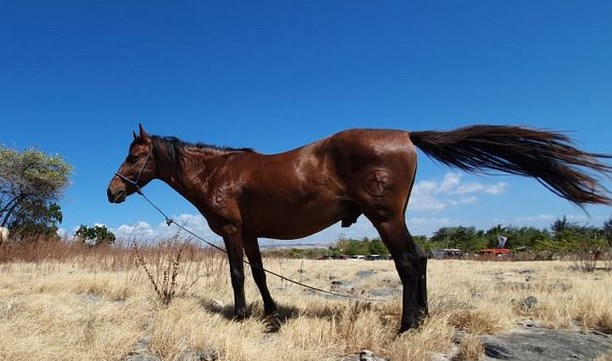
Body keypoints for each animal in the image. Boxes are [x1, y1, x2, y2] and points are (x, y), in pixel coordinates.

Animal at [107, 124, 608, 332]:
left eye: (135, 155)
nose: (112, 191)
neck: (220, 172)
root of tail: (405, 134)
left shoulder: (231, 232)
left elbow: (236, 276)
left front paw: (242, 315)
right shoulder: (249, 234)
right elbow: (260, 275)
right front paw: (270, 313)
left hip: (386, 218)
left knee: (409, 262)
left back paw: (407, 327)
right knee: (420, 261)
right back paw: (423, 319)